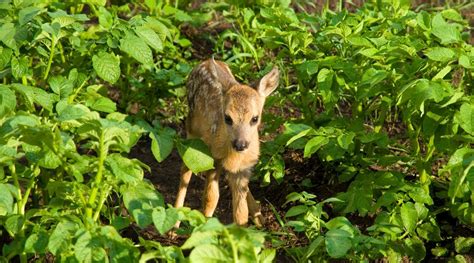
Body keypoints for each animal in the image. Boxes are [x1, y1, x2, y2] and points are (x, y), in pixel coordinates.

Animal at [173, 58, 278, 228]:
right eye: (227, 118)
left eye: (255, 118)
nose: (240, 144)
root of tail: (204, 62)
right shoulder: (213, 158)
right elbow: (210, 198)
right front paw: (204, 227)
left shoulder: (243, 168)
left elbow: (241, 213)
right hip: (191, 131)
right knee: (185, 170)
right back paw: (174, 225)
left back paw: (259, 218)